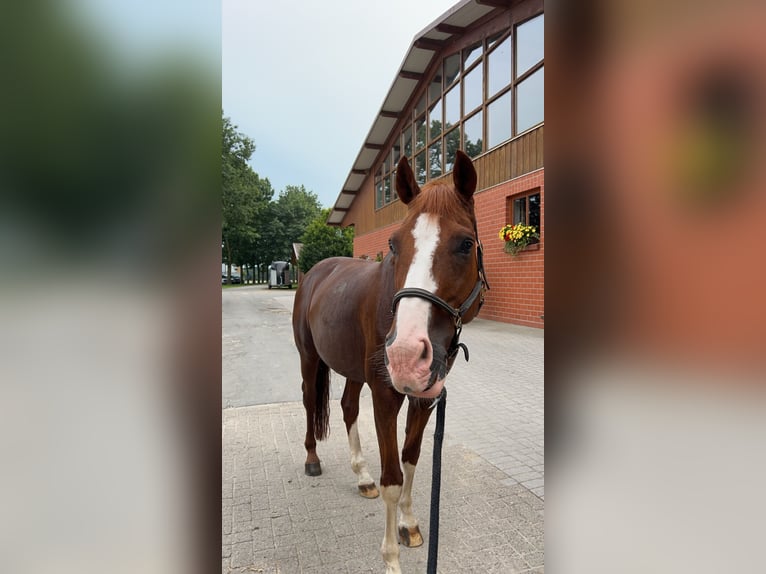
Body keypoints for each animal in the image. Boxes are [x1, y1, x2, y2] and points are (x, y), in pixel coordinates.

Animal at [292, 151, 488, 572]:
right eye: (394, 244)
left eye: (465, 244)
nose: (405, 354)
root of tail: (315, 272)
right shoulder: (385, 397)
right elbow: (393, 479)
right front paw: (391, 559)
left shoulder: (425, 399)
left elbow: (411, 460)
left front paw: (410, 525)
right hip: (310, 359)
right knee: (309, 402)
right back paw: (312, 459)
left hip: (352, 370)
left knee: (348, 407)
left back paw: (361, 476)